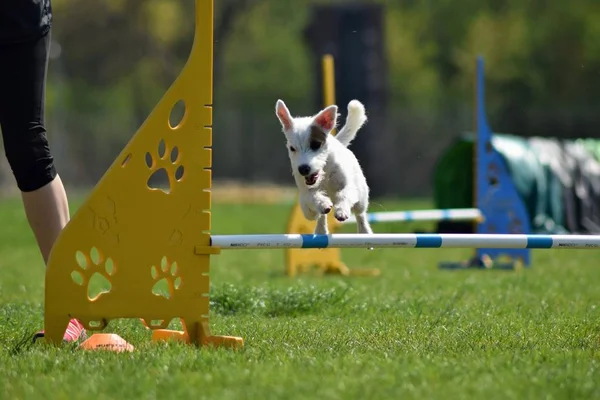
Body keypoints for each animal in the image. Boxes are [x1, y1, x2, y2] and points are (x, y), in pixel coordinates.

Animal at [276, 99, 370, 236]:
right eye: (292, 148)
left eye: (315, 144)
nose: (303, 169)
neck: (324, 171)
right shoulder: (306, 193)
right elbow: (313, 196)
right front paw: (323, 203)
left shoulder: (348, 186)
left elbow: (344, 194)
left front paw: (342, 210)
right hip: (307, 211)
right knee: (319, 216)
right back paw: (321, 229)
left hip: (361, 198)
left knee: (360, 214)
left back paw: (364, 232)